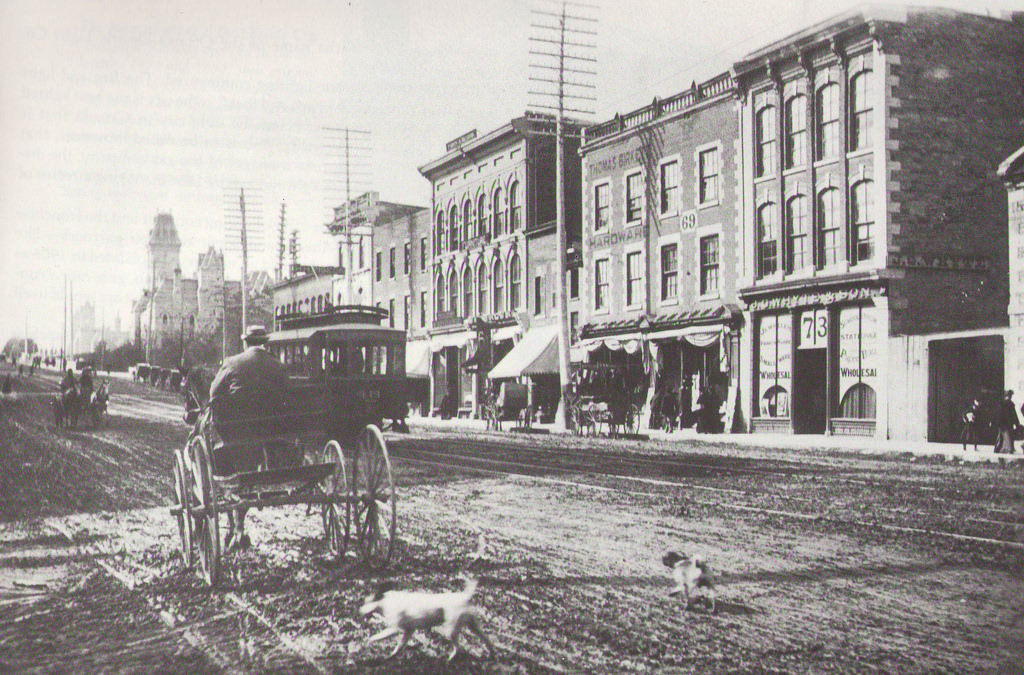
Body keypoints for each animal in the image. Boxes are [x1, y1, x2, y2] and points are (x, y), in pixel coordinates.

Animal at [358, 577, 493, 663]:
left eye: (366, 602)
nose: (358, 611)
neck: (386, 601)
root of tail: (465, 596)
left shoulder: (395, 628)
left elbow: (376, 637)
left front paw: (367, 642)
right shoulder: (409, 630)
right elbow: (400, 646)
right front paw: (391, 657)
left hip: (451, 630)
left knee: (458, 647)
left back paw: (449, 660)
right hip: (473, 625)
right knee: (486, 639)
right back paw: (492, 654)